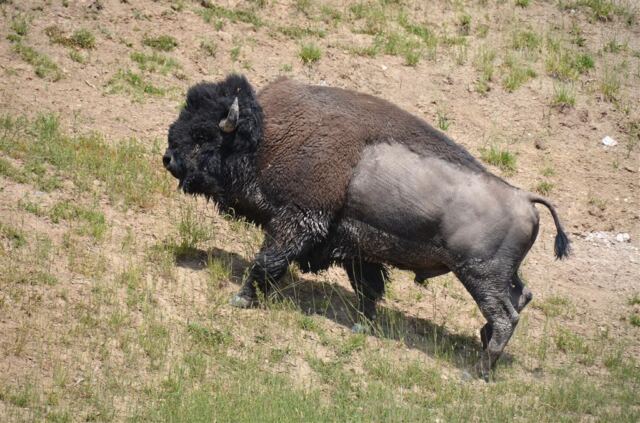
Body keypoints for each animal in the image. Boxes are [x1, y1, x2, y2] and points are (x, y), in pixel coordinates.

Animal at [163, 74, 570, 380]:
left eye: (203, 135)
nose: (168, 158)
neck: (266, 135)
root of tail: (525, 199)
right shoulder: (355, 247)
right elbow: (369, 288)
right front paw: (363, 326)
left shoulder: (297, 222)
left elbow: (268, 262)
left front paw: (240, 299)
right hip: (500, 275)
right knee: (521, 297)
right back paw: (482, 346)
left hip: (480, 275)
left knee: (505, 316)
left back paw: (475, 372)